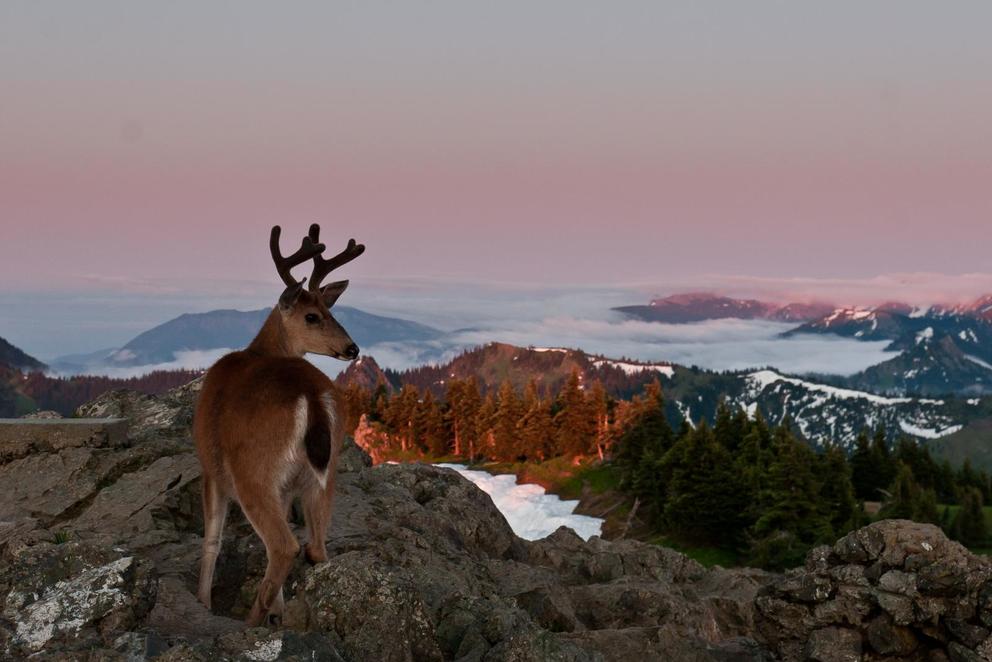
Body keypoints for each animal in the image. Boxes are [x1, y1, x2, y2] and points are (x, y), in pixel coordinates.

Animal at [192, 223, 366, 628]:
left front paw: (203, 601)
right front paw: (281, 612)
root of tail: (312, 396)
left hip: (252, 469)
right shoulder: (286, 486)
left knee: (284, 545)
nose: (353, 349)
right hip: (326, 472)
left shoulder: (210, 466)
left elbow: (212, 539)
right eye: (313, 315)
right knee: (316, 548)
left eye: (328, 310)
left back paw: (251, 621)